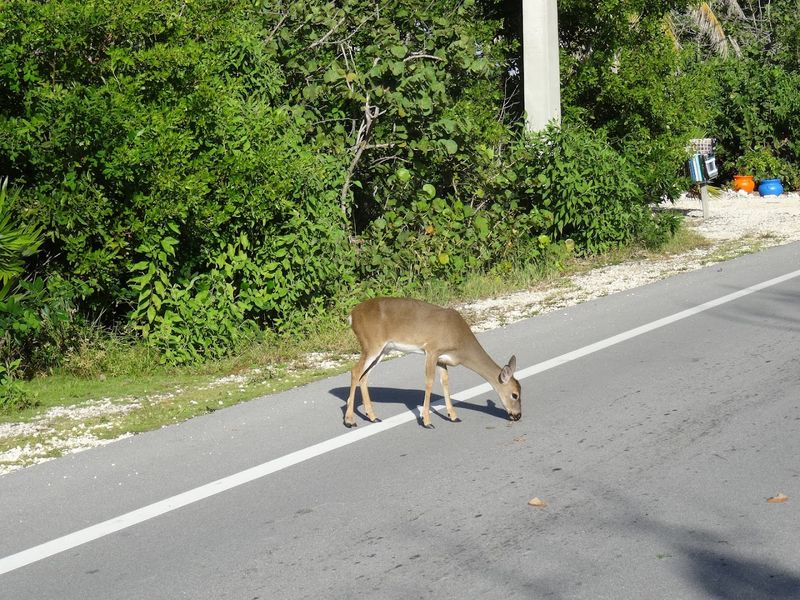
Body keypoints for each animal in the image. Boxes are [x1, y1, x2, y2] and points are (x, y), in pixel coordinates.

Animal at [344, 297, 521, 428]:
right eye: (515, 395)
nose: (518, 415)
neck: (460, 342)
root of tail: (352, 315)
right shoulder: (432, 349)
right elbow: (429, 382)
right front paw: (427, 421)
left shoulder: (442, 358)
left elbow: (445, 382)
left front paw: (453, 416)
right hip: (372, 344)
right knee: (355, 372)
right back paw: (350, 420)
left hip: (383, 350)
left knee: (364, 377)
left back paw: (373, 417)